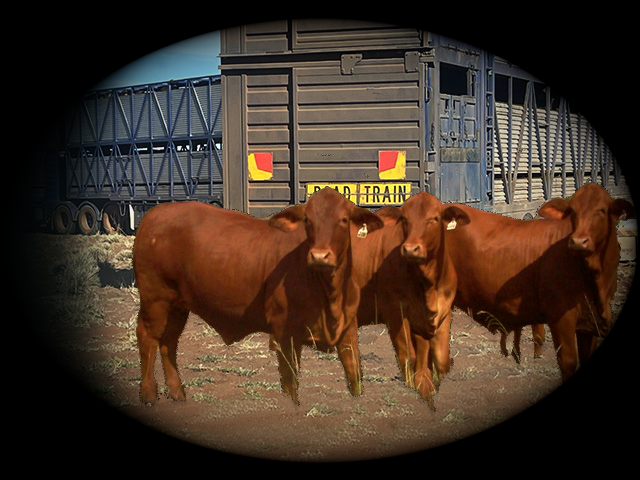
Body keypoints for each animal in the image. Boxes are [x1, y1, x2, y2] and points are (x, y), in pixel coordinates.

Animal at [133, 187, 383, 405]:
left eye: (344, 220)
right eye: (308, 221)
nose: (320, 256)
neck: (329, 292)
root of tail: (154, 214)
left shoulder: (348, 329)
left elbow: (355, 376)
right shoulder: (284, 333)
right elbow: (290, 385)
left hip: (177, 306)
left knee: (169, 342)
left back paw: (177, 393)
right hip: (155, 300)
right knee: (148, 338)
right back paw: (149, 394)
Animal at [351, 192, 470, 408]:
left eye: (434, 218)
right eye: (405, 219)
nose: (410, 249)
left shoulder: (443, 311)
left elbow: (440, 358)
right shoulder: (395, 313)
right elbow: (408, 356)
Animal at [444, 183, 634, 381]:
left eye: (602, 210)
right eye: (572, 211)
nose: (578, 241)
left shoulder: (589, 326)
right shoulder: (561, 318)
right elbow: (568, 362)